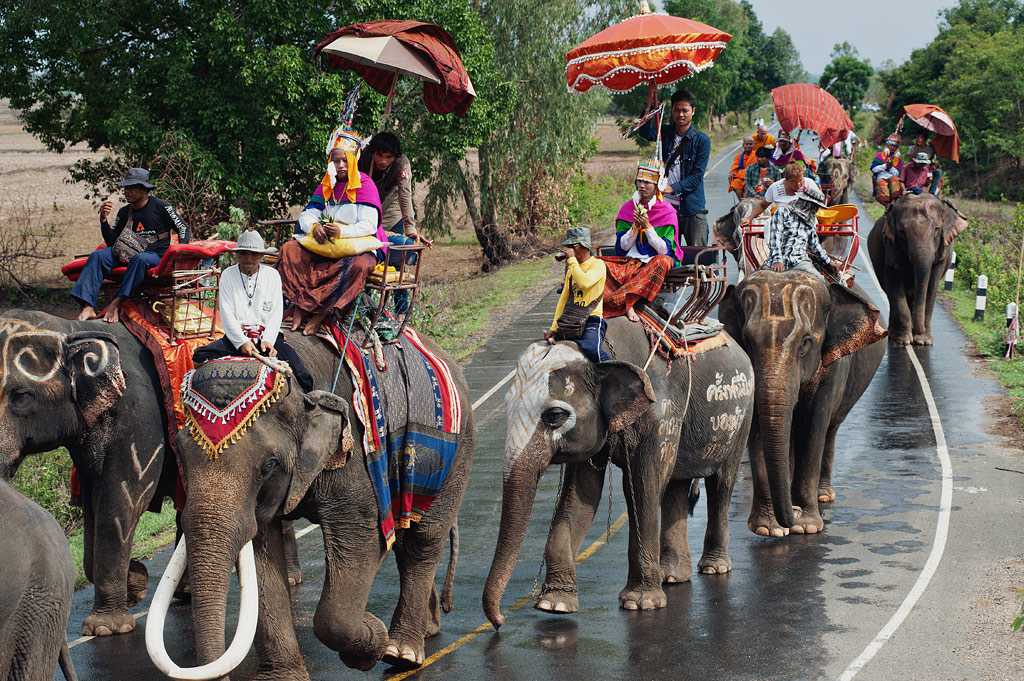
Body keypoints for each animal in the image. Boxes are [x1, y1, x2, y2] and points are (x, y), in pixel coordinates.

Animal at [145, 331, 475, 675]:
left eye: (269, 465)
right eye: (179, 455)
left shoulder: (354, 456)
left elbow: (361, 540)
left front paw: (370, 641)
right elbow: (263, 552)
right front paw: (282, 677)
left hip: (457, 454)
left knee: (424, 539)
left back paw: (402, 652)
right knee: (406, 536)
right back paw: (428, 630)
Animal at [483, 315, 757, 622]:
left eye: (554, 416)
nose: (500, 620)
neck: (602, 354)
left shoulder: (660, 414)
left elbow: (641, 486)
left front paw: (641, 603)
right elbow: (582, 494)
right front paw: (554, 605)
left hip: (742, 415)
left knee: (721, 483)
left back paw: (713, 567)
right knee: (676, 485)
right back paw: (672, 576)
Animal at [712, 270, 888, 536]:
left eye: (805, 343)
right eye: (748, 341)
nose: (792, 515)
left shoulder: (832, 366)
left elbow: (813, 425)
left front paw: (805, 526)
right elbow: (759, 427)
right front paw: (769, 528)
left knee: (830, 429)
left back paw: (823, 495)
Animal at [864, 193, 966, 348]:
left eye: (937, 229)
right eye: (901, 232)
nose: (918, 331)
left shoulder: (943, 253)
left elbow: (931, 287)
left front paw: (923, 341)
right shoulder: (890, 247)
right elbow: (895, 284)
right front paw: (902, 340)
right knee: (891, 294)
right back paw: (893, 333)